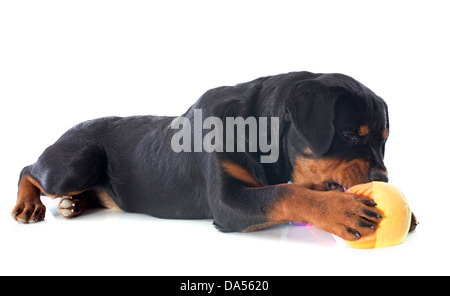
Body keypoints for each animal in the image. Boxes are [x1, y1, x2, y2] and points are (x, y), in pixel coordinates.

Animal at [11, 71, 418, 240]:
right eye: (348, 134)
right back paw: (30, 205)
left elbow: (292, 187)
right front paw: (340, 209)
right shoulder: (227, 202)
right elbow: (285, 193)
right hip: (76, 161)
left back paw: (74, 205)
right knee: (28, 169)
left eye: (384, 140)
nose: (382, 179)